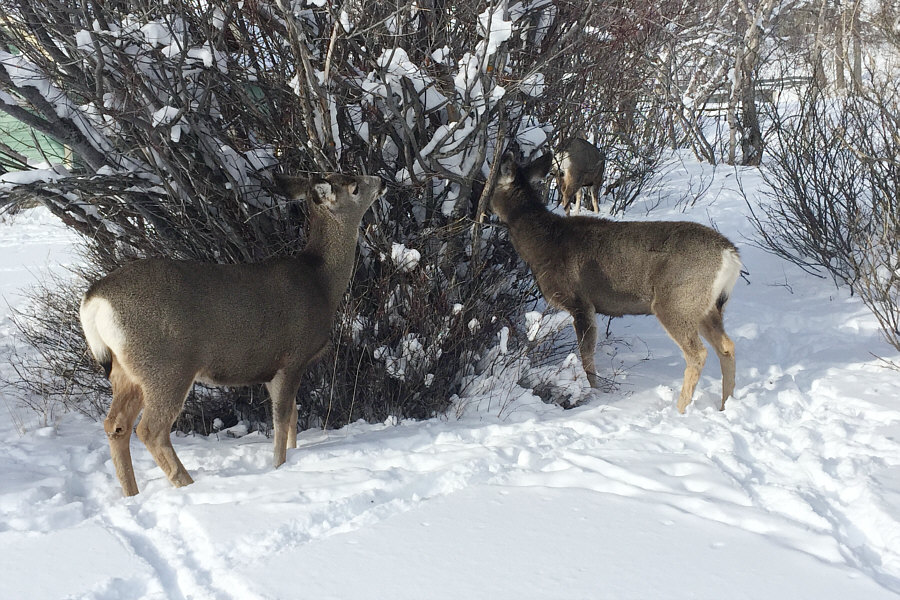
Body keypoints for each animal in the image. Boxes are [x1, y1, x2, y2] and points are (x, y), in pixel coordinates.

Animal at [79, 172, 385, 496]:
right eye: (355, 187)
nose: (381, 180)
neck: (321, 283)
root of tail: (94, 299)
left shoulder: (270, 368)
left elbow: (292, 416)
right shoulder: (293, 356)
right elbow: (281, 419)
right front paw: (279, 467)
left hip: (127, 370)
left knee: (116, 426)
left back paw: (132, 494)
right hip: (167, 366)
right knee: (150, 429)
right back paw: (188, 485)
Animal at [487, 152, 741, 413]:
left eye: (493, 182)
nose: (483, 204)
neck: (543, 244)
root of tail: (730, 255)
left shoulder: (580, 301)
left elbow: (586, 354)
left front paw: (594, 391)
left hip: (676, 302)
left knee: (697, 353)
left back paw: (680, 410)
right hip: (706, 307)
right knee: (727, 346)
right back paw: (725, 405)